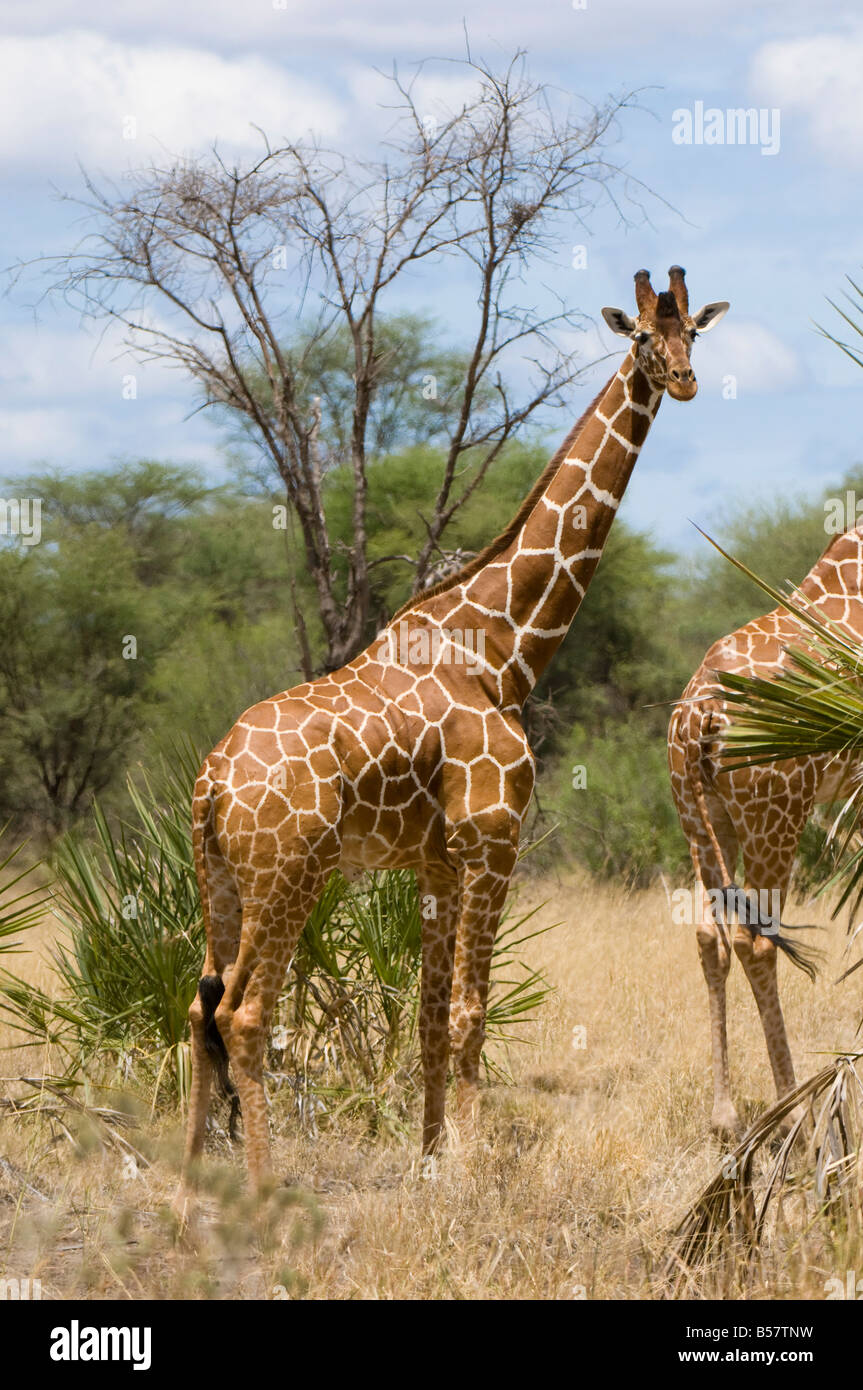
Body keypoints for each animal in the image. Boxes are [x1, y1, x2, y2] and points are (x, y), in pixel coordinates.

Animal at [180, 265, 728, 1189]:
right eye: (642, 340)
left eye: (693, 331)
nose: (685, 382)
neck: (500, 647)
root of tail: (212, 779)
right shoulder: (492, 840)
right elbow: (475, 1007)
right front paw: (472, 1165)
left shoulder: (435, 863)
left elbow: (431, 1013)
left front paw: (433, 1157)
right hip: (288, 876)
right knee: (246, 1013)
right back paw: (264, 1186)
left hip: (218, 878)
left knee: (198, 1004)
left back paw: (190, 1187)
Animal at [667, 525, 861, 1134]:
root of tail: (698, 716)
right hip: (775, 817)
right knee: (757, 942)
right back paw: (792, 1107)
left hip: (704, 820)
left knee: (709, 935)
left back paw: (724, 1115)